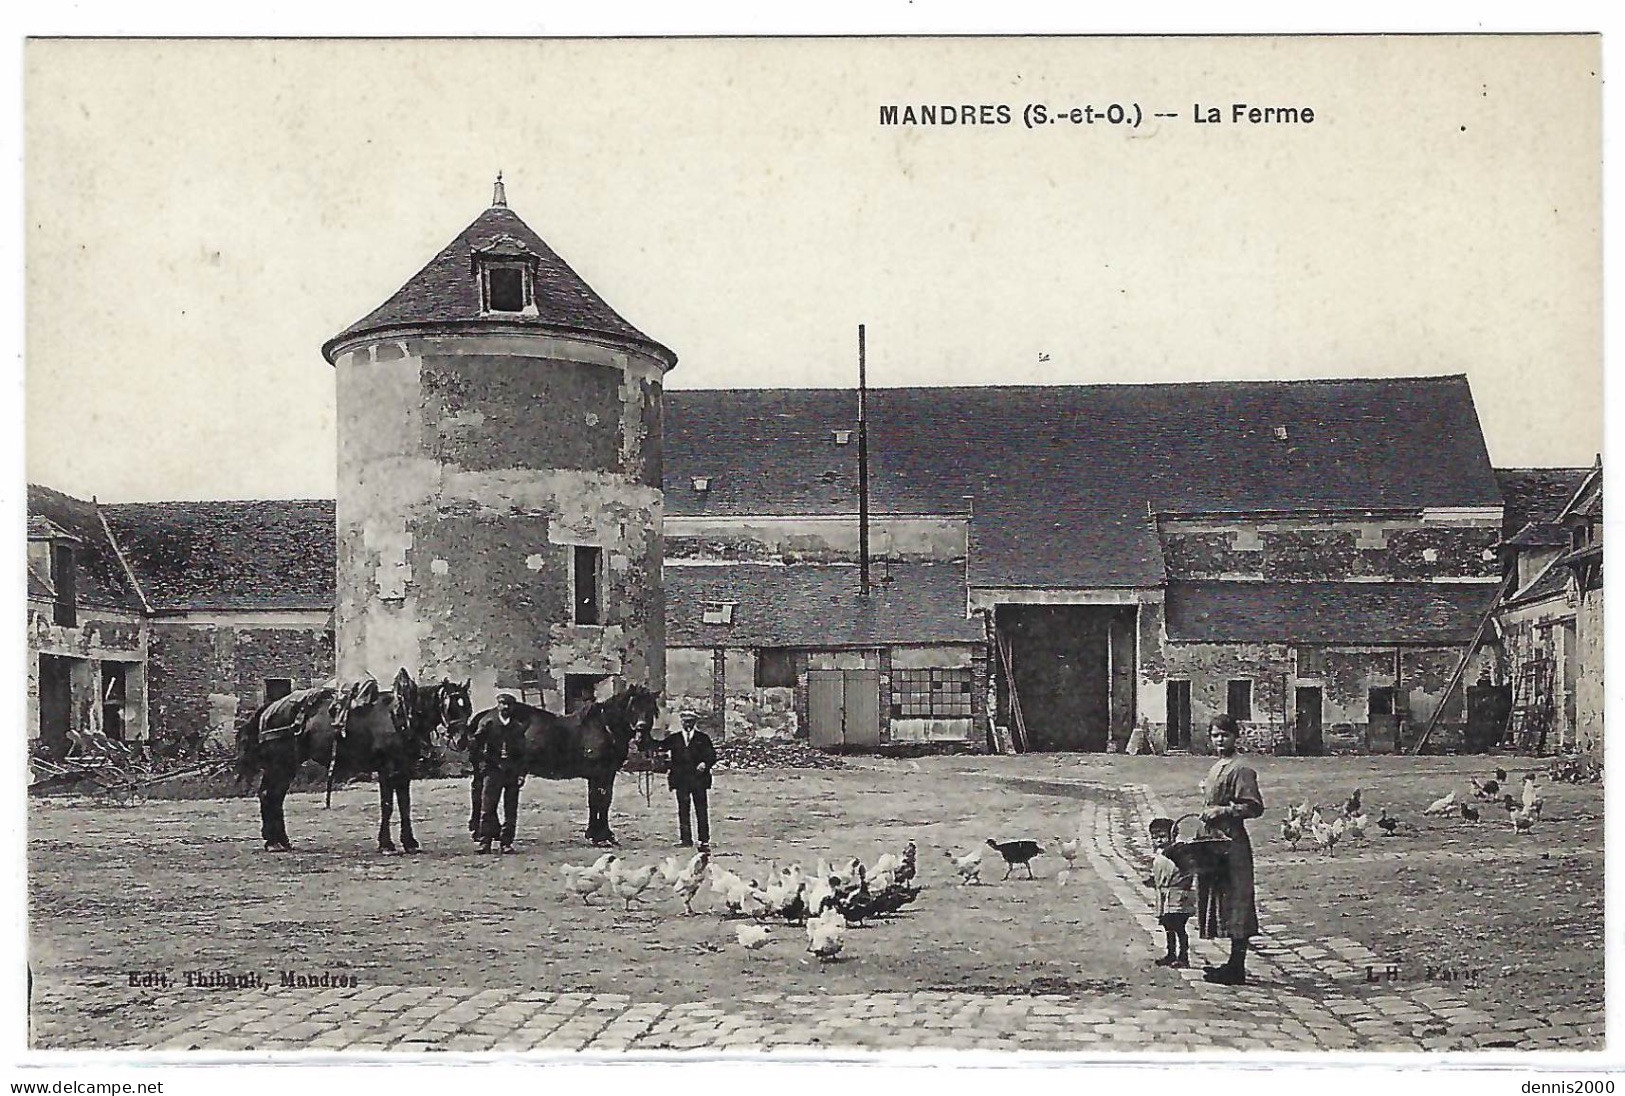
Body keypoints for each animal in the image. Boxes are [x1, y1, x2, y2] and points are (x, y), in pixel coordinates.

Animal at [235, 666, 474, 852]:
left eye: (467, 707)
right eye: (450, 706)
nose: (462, 740)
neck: (401, 715)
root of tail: (269, 708)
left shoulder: (404, 769)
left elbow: (404, 804)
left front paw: (409, 842)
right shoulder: (387, 769)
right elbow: (387, 805)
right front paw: (386, 844)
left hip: (287, 766)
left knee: (274, 796)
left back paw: (280, 841)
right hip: (280, 764)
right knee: (270, 795)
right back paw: (273, 842)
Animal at [451, 682, 659, 845]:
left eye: (651, 709)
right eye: (632, 707)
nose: (641, 733)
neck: (604, 726)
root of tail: (485, 716)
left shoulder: (600, 774)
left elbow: (596, 801)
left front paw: (595, 834)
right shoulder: (602, 773)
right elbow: (601, 801)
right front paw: (602, 836)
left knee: (478, 792)